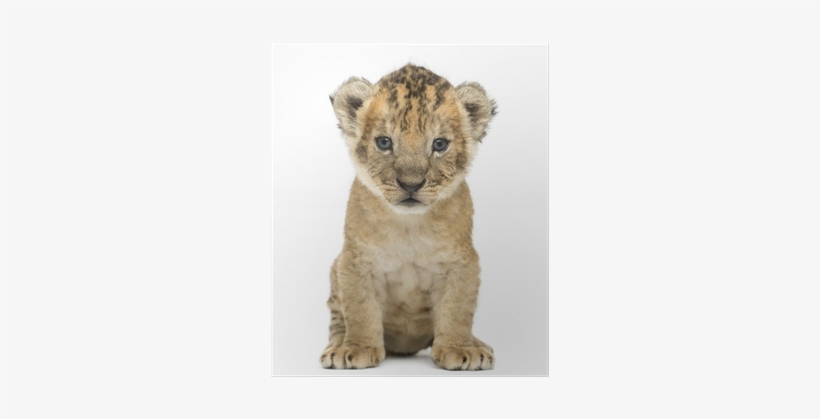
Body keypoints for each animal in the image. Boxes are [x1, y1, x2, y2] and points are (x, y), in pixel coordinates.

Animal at [319, 64, 497, 370]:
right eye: (384, 142)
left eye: (439, 144)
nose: (411, 185)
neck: (408, 226)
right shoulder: (354, 261)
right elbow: (359, 309)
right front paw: (358, 348)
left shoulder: (462, 263)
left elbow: (457, 310)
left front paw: (458, 349)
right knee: (338, 318)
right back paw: (337, 346)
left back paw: (478, 345)